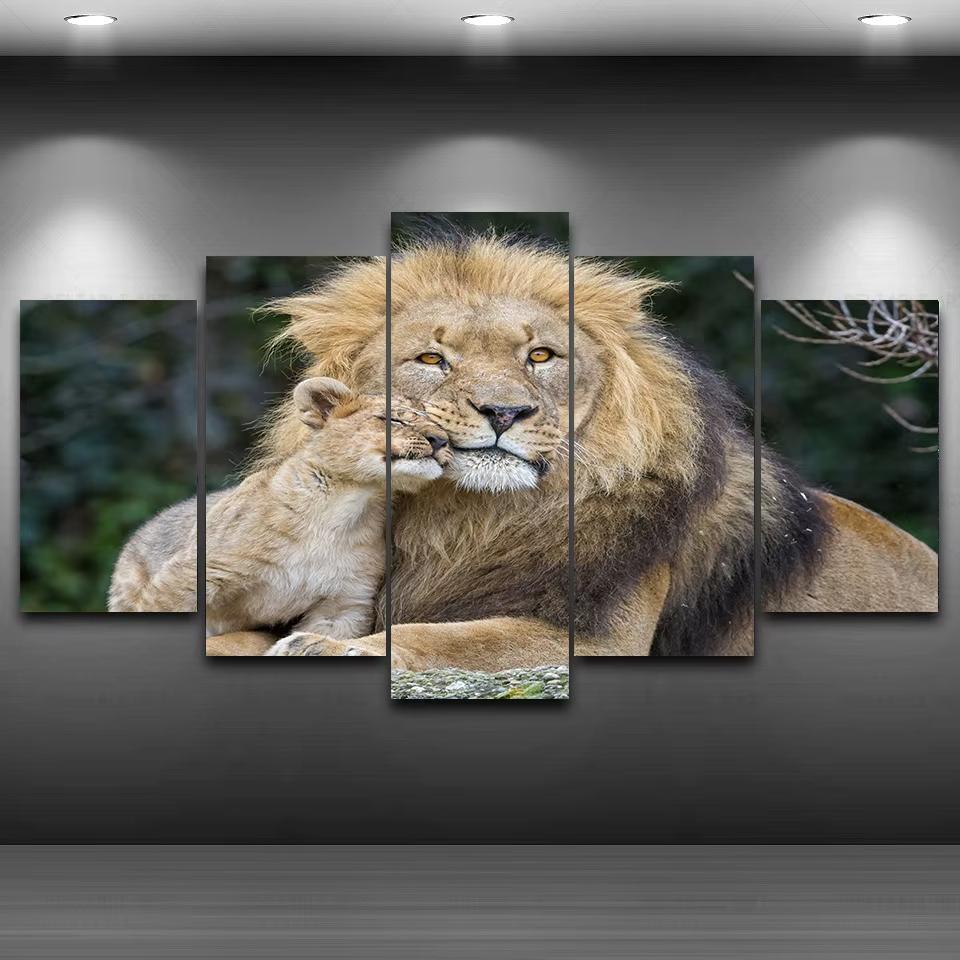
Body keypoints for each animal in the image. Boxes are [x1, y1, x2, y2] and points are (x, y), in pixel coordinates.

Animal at [207, 235, 938, 660]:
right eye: (432, 359)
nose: (504, 411)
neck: (467, 518)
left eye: (540, 356)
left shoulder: (599, 639)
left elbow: (448, 641)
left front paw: (324, 649)